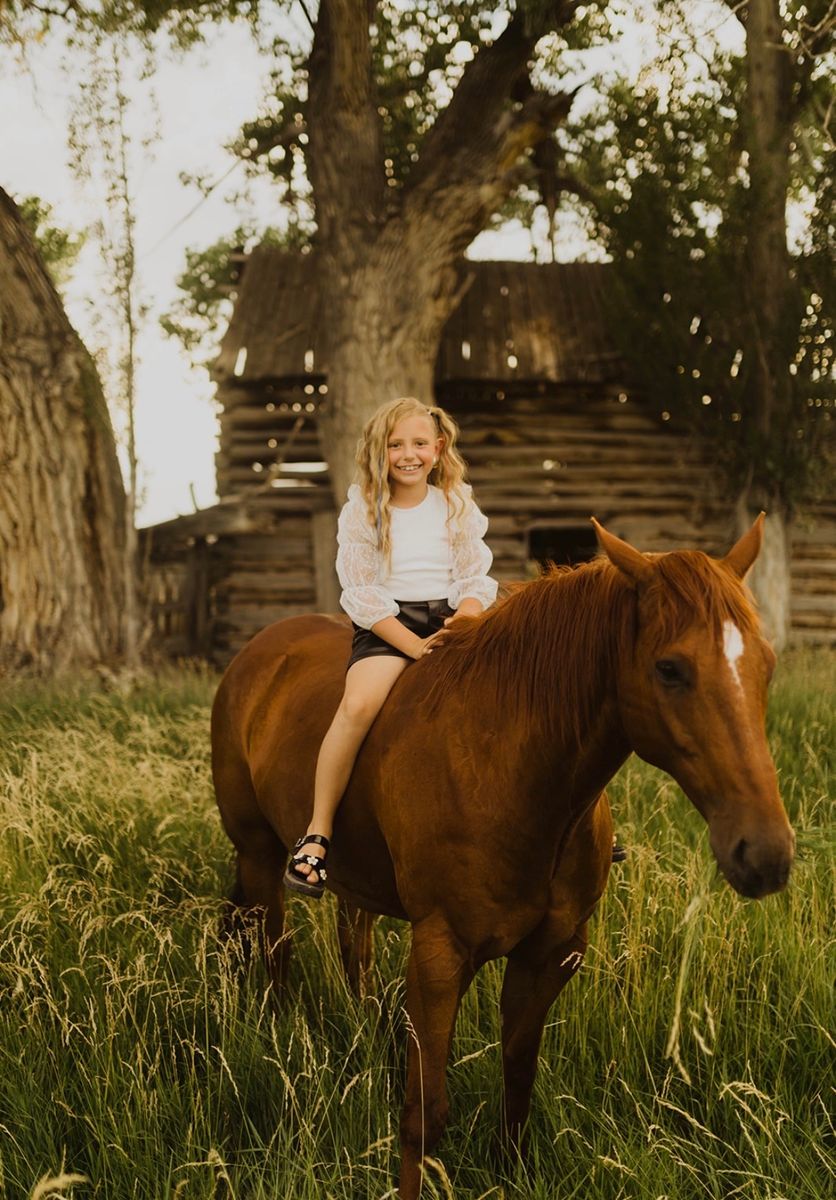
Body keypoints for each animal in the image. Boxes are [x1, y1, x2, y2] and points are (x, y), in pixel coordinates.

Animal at [210, 516, 794, 1199]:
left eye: (766, 665)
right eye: (670, 669)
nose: (766, 853)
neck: (507, 765)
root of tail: (262, 650)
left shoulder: (552, 954)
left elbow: (516, 1080)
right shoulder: (439, 957)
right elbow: (425, 1113)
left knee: (354, 951)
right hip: (258, 856)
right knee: (274, 953)